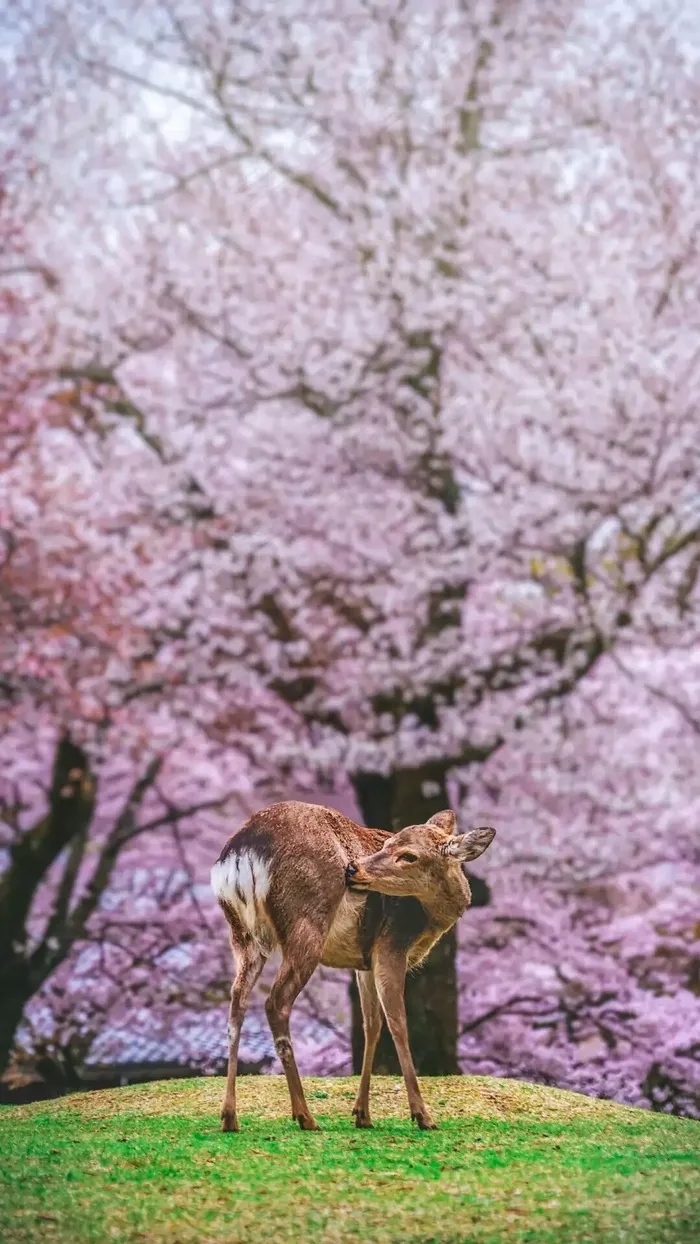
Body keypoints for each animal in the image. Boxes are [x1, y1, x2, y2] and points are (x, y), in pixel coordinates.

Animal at [210, 800, 495, 1133]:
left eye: (409, 855)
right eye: (388, 844)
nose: (353, 868)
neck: (430, 920)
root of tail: (242, 852)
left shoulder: (364, 962)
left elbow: (371, 1025)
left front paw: (362, 1114)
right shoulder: (391, 944)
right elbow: (398, 1023)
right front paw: (422, 1115)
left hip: (242, 934)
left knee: (237, 1002)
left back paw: (230, 1116)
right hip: (307, 924)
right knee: (276, 1002)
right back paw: (305, 1116)